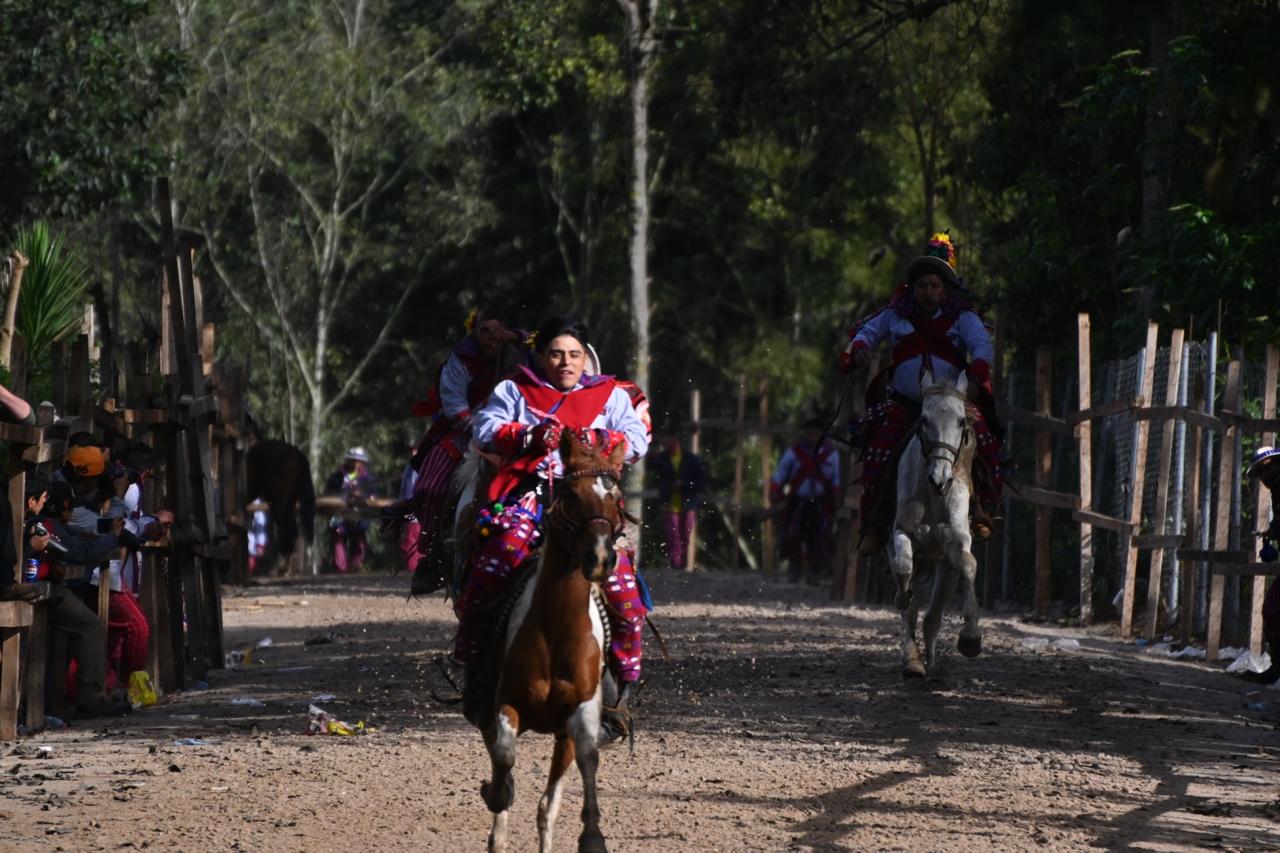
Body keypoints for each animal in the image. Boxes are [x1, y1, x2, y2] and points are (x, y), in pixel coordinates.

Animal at [478, 432, 627, 850]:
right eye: (571, 493)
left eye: (615, 495)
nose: (599, 557)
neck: (555, 629)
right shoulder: (506, 703)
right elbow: (504, 756)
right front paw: (496, 792)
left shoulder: (582, 711)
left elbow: (588, 758)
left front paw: (592, 835)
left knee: (548, 807)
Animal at [885, 368, 983, 676]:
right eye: (924, 419)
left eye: (961, 420)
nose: (940, 480)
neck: (932, 497)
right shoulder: (901, 533)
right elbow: (903, 568)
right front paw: (902, 597)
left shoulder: (956, 542)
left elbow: (968, 563)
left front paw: (971, 637)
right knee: (914, 608)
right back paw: (914, 663)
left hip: (944, 569)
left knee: (933, 619)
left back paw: (931, 665)